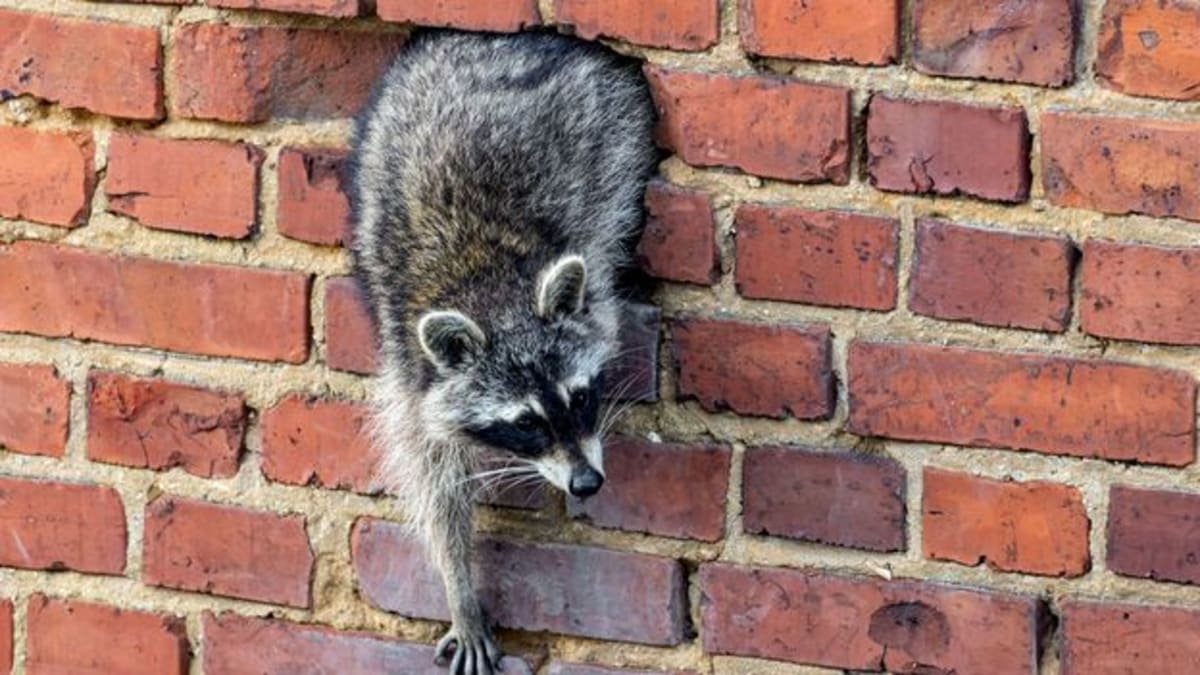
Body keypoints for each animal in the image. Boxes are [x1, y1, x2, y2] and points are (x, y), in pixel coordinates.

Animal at [347, 29, 657, 675]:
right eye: (525, 423)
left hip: (608, 119)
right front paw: (457, 584)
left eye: (580, 397)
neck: (486, 282)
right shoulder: (411, 368)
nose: (586, 484)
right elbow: (431, 474)